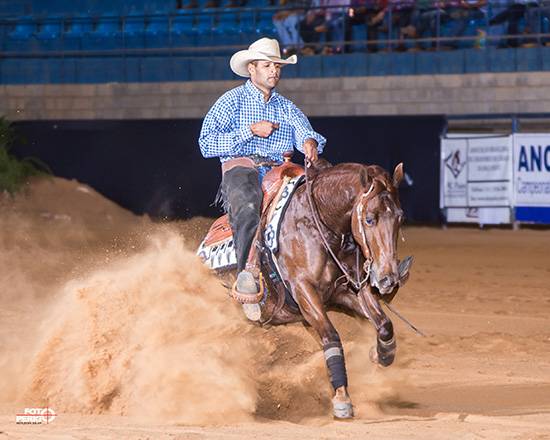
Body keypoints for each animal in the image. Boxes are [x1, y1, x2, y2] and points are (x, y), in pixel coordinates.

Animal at [256, 161, 408, 420]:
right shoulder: (304, 290)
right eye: (369, 219)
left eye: (400, 217)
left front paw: (381, 354)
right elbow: (331, 336)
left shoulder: (347, 289)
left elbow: (384, 324)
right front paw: (342, 398)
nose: (387, 279)